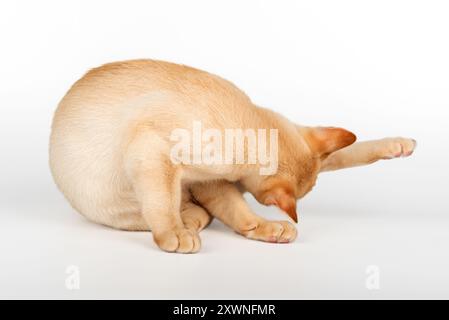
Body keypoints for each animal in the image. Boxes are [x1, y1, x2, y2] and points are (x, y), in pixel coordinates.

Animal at [48, 59, 412, 252]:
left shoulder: (211, 178)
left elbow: (237, 211)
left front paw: (262, 227)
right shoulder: (155, 151)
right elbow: (163, 204)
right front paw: (173, 234)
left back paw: (400, 144)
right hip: (119, 200)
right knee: (172, 209)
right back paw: (187, 223)